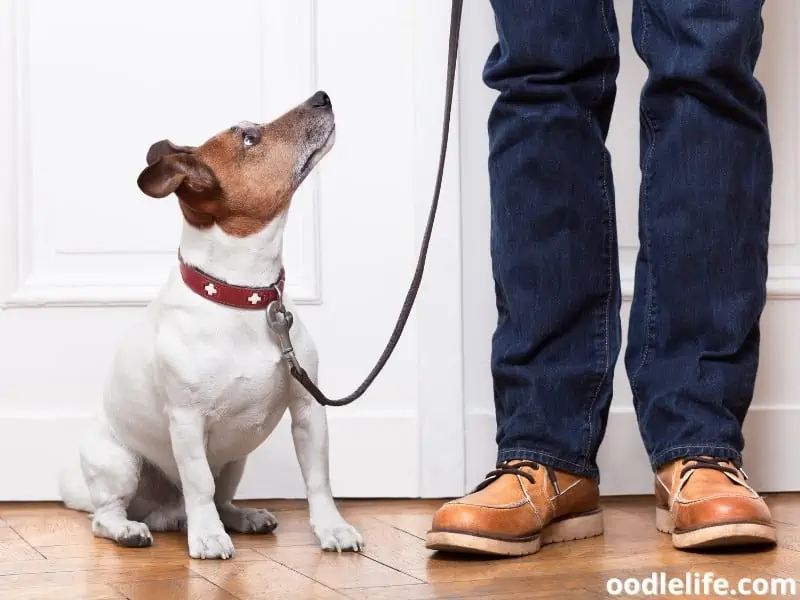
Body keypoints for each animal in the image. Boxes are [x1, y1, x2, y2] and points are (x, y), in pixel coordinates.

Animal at [57, 91, 364, 560]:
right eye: (250, 139)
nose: (322, 96)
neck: (243, 296)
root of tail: (162, 512)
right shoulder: (186, 421)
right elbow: (198, 482)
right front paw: (206, 537)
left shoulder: (308, 410)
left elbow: (318, 479)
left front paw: (332, 528)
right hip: (119, 465)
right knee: (108, 515)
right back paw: (136, 529)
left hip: (235, 462)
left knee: (220, 497)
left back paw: (240, 517)